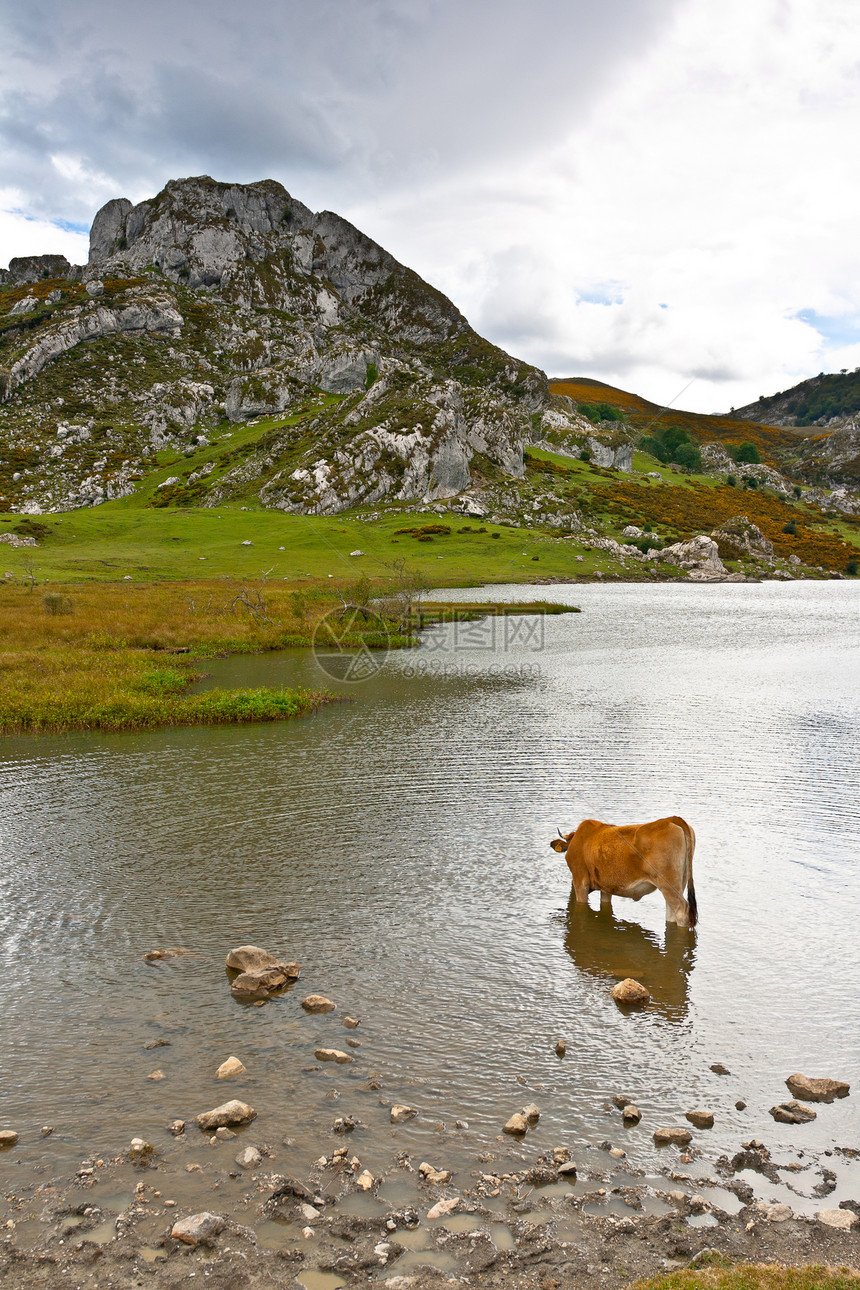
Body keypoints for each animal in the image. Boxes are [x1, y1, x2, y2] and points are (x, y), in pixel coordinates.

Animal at [551, 815, 701, 928]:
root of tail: (671, 819)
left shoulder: (580, 882)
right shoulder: (606, 886)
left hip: (668, 884)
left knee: (681, 911)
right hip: (679, 884)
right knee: (671, 912)